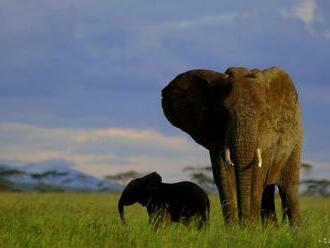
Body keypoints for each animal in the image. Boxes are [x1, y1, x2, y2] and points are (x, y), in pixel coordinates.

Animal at [161, 67, 302, 226]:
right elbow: (224, 174)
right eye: (223, 111)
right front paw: (235, 229)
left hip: (296, 139)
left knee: (288, 190)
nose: (244, 222)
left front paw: (250, 228)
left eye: (263, 114)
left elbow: (257, 176)